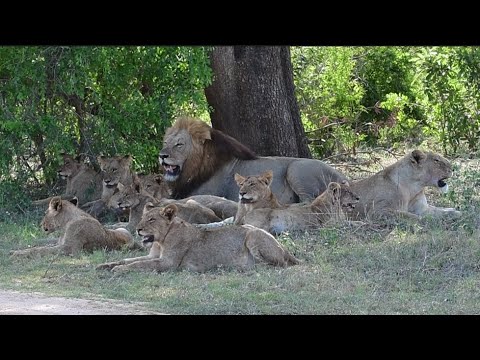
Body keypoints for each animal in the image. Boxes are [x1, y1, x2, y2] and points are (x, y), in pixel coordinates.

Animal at [96, 202, 300, 272]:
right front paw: (104, 265)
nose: (138, 229)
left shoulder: (168, 263)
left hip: (253, 235)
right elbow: (128, 259)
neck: (160, 242)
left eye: (151, 219)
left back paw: (241, 267)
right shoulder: (152, 255)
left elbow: (139, 265)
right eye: (143, 218)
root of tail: (284, 249)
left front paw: (119, 270)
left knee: (277, 264)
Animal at [159, 117, 346, 204]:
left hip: (296, 169)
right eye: (165, 143)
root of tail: (343, 176)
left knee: (308, 201)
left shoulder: (206, 193)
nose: (162, 155)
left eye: (179, 144)